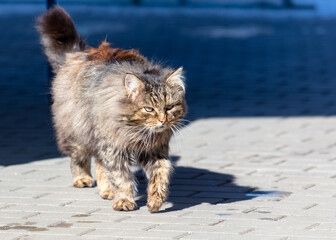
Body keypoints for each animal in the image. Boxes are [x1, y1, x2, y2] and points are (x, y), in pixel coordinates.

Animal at [38, 6, 189, 212]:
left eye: (169, 107)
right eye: (149, 109)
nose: (163, 120)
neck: (135, 130)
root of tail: (77, 54)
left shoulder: (155, 149)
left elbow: (161, 174)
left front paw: (155, 201)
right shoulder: (114, 147)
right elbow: (121, 176)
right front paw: (124, 200)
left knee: (99, 162)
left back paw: (106, 191)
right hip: (79, 130)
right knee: (79, 158)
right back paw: (83, 179)